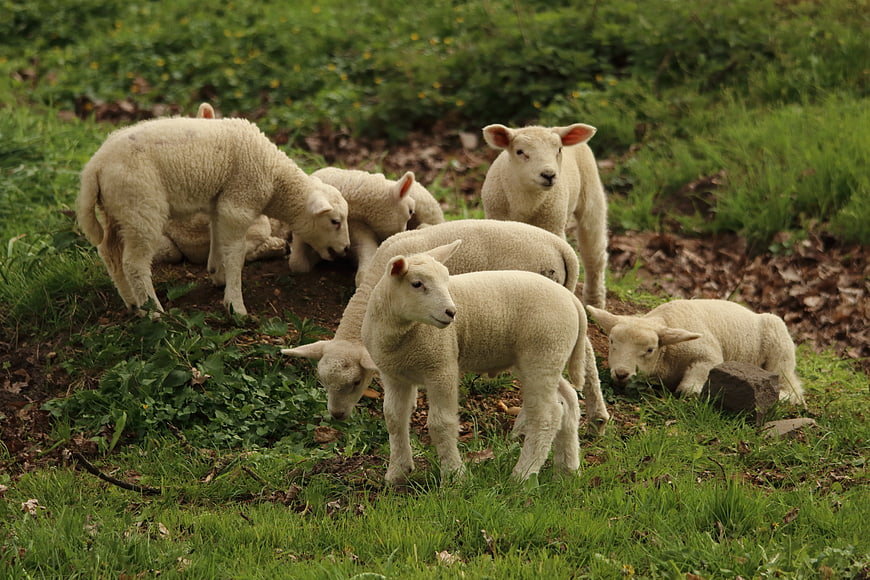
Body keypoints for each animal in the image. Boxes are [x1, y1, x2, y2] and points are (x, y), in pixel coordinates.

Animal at [77, 116, 350, 316]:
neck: (275, 177)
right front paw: (235, 305)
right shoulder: (239, 202)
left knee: (109, 253)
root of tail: (95, 167)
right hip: (141, 206)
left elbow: (218, 238)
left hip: (117, 211)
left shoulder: (221, 203)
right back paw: (153, 311)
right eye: (335, 221)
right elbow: (236, 254)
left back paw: (132, 304)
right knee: (134, 263)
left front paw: (217, 275)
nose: (347, 249)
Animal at [281, 219, 610, 435]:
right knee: (586, 349)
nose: (336, 416)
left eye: (356, 382)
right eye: (323, 382)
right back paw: (598, 414)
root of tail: (562, 247)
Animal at [360, 240, 602, 483]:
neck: (402, 333)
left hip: (544, 351)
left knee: (547, 415)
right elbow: (394, 420)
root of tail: (572, 299)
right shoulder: (393, 375)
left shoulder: (441, 367)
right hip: (545, 358)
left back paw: (523, 475)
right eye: (417, 284)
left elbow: (441, 423)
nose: (452, 312)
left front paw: (454, 476)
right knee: (568, 401)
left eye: (447, 280)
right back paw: (568, 469)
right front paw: (397, 472)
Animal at [481, 123, 609, 309]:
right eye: (520, 151)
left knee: (594, 254)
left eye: (559, 150)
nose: (549, 174)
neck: (527, 203)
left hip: (591, 194)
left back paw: (594, 303)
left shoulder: (553, 224)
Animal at [587, 300, 806, 405]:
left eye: (649, 349)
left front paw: (690, 391)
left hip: (780, 353)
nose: (621, 374)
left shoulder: (708, 355)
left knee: (794, 390)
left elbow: (689, 388)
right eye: (611, 341)